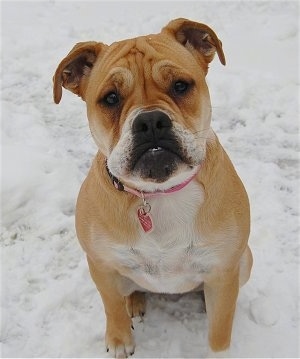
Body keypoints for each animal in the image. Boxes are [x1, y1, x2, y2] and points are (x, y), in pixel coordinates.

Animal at [52, 18, 252, 358]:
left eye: (181, 86)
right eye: (111, 98)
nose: (151, 122)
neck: (158, 194)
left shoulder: (224, 270)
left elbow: (219, 334)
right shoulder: (101, 265)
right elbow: (111, 306)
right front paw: (120, 339)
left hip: (245, 261)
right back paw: (133, 301)